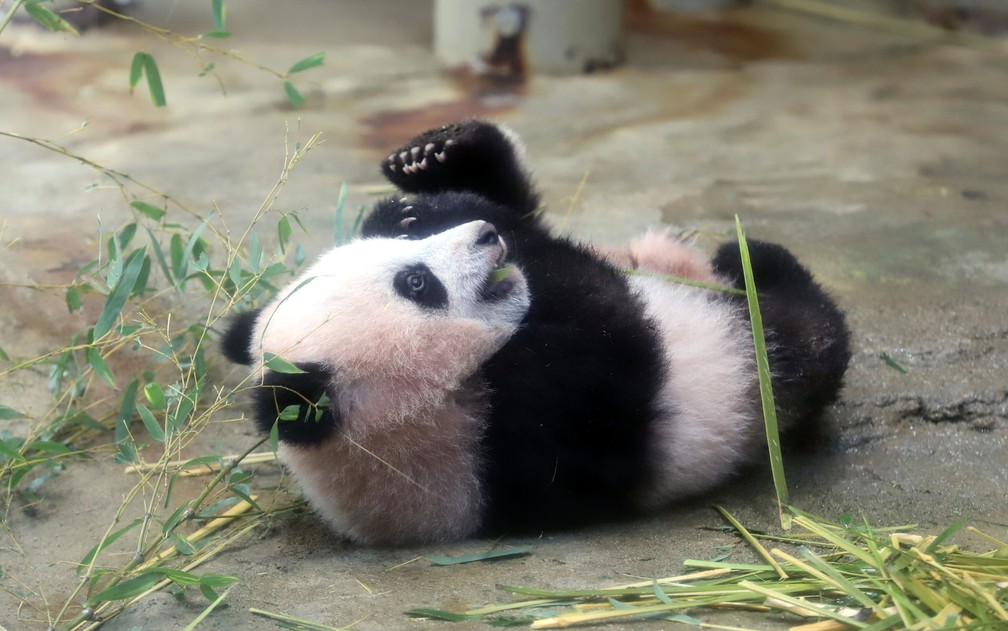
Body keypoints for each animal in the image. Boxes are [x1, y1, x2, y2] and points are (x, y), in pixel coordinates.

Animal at [221, 120, 850, 545]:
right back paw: (762, 261)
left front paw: (420, 190)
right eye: (417, 282)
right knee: (806, 336)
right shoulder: (522, 440)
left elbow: (525, 221)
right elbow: (606, 328)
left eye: (401, 254)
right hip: (758, 361)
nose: (482, 236)